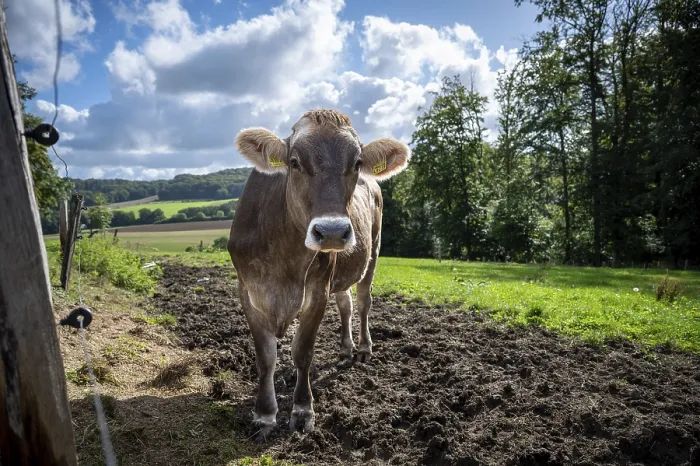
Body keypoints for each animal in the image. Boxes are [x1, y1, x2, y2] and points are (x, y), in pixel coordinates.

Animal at [227, 108, 410, 439]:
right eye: (294, 162)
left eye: (357, 163)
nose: (333, 232)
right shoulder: (248, 291)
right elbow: (266, 357)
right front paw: (264, 414)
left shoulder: (317, 290)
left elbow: (303, 351)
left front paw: (302, 411)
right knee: (346, 305)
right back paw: (345, 350)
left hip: (372, 253)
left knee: (362, 302)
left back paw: (363, 348)